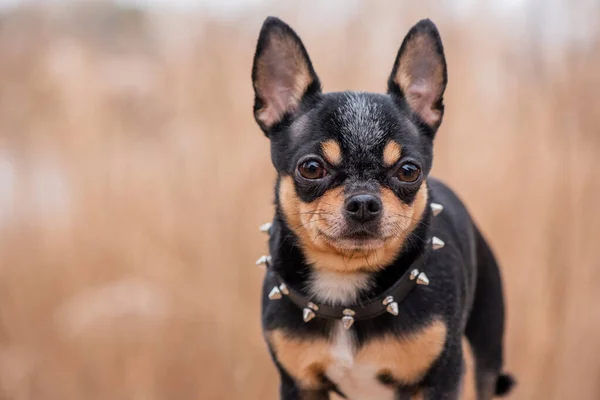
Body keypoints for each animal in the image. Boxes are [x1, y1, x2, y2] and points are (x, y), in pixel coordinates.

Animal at [251, 16, 512, 400]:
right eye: (311, 168)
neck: (346, 289)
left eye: (408, 171)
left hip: (487, 351)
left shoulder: (442, 380)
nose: (363, 202)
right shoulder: (300, 384)